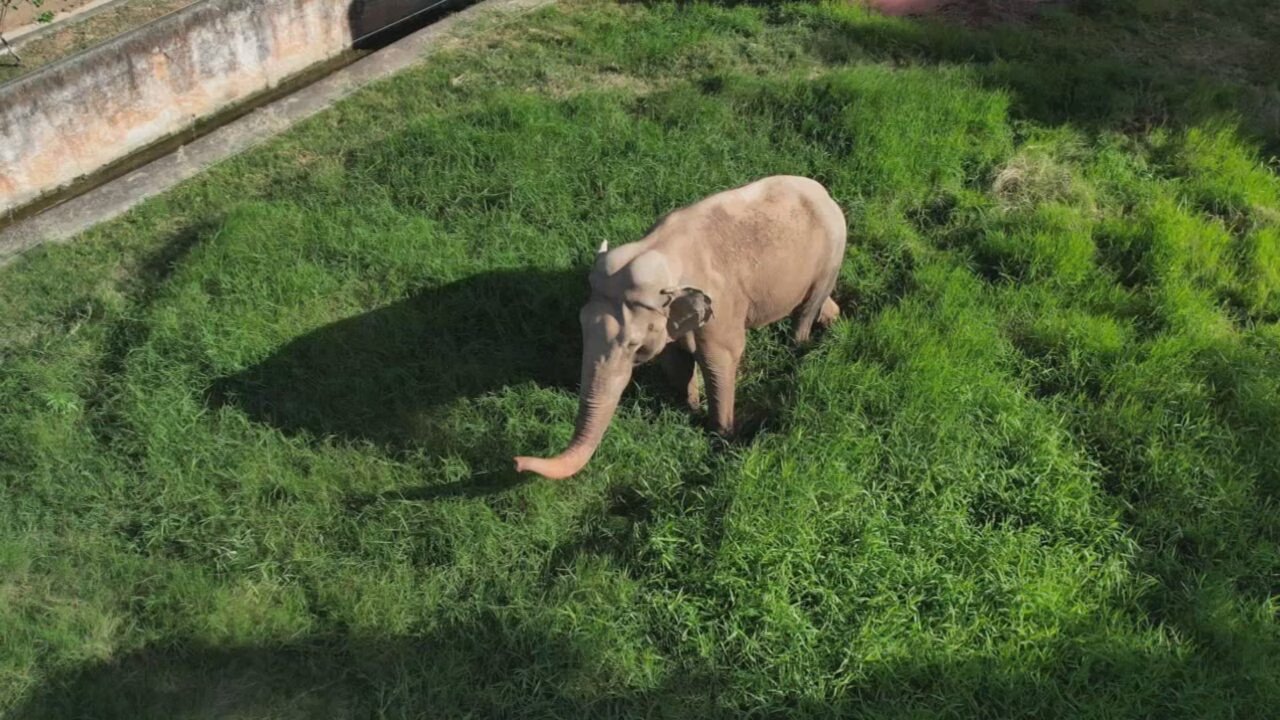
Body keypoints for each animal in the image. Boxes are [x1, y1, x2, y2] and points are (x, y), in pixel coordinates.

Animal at [514, 175, 847, 480]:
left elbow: (719, 359)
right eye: (581, 325)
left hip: (832, 252)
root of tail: (823, 191)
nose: (516, 462)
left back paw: (801, 348)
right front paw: (690, 410)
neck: (662, 252)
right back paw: (834, 321)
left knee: (805, 310)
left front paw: (721, 437)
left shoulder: (721, 308)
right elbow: (675, 360)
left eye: (634, 346)